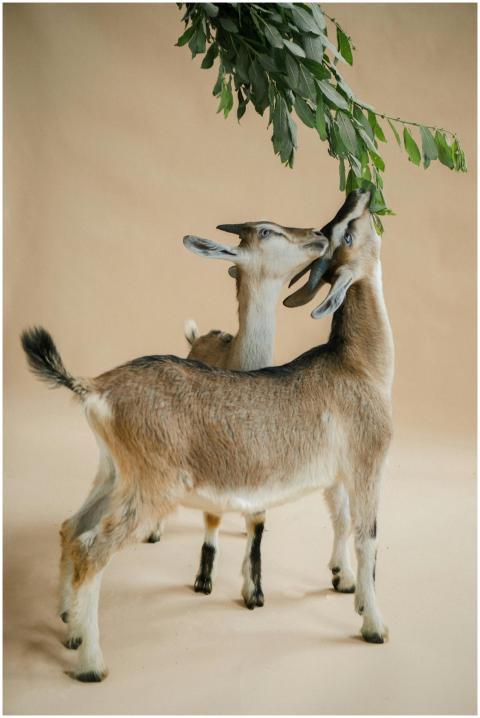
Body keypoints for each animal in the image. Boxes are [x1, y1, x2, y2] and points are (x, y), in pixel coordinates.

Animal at [148, 223, 339, 607]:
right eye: (266, 230)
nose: (317, 234)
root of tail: (199, 337)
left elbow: (258, 521)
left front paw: (254, 591)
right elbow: (211, 517)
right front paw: (204, 580)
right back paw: (155, 533)